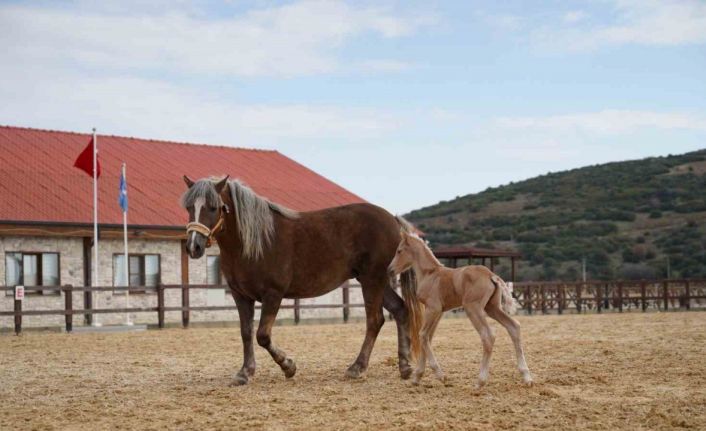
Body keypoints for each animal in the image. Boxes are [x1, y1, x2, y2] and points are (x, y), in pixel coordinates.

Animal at [182, 176, 420, 384]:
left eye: (213, 207)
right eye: (189, 208)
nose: (194, 246)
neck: (253, 242)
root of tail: (394, 221)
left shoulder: (273, 294)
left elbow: (262, 335)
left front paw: (288, 366)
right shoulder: (240, 296)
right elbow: (246, 333)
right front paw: (245, 373)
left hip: (372, 280)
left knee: (375, 320)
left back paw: (357, 367)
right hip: (375, 281)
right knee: (400, 310)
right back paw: (404, 366)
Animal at [388, 235, 532, 390]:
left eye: (399, 251)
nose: (390, 270)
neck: (430, 273)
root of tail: (491, 275)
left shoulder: (433, 308)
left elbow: (422, 335)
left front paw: (440, 375)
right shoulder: (439, 312)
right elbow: (427, 337)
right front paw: (417, 377)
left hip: (473, 308)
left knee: (488, 335)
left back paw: (479, 382)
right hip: (492, 308)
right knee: (514, 326)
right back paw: (527, 377)